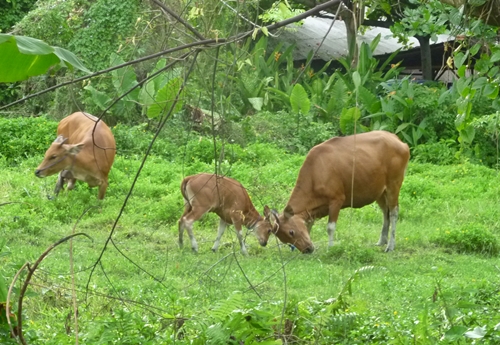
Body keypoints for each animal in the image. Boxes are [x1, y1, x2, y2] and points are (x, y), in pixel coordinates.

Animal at [270, 130, 410, 254]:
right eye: (284, 240)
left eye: (291, 232)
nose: (307, 250)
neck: (315, 173)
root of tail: (398, 140)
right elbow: (309, 225)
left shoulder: (337, 200)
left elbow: (330, 227)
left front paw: (330, 248)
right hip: (380, 191)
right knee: (385, 212)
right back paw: (382, 241)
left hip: (394, 185)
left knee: (393, 212)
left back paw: (390, 246)